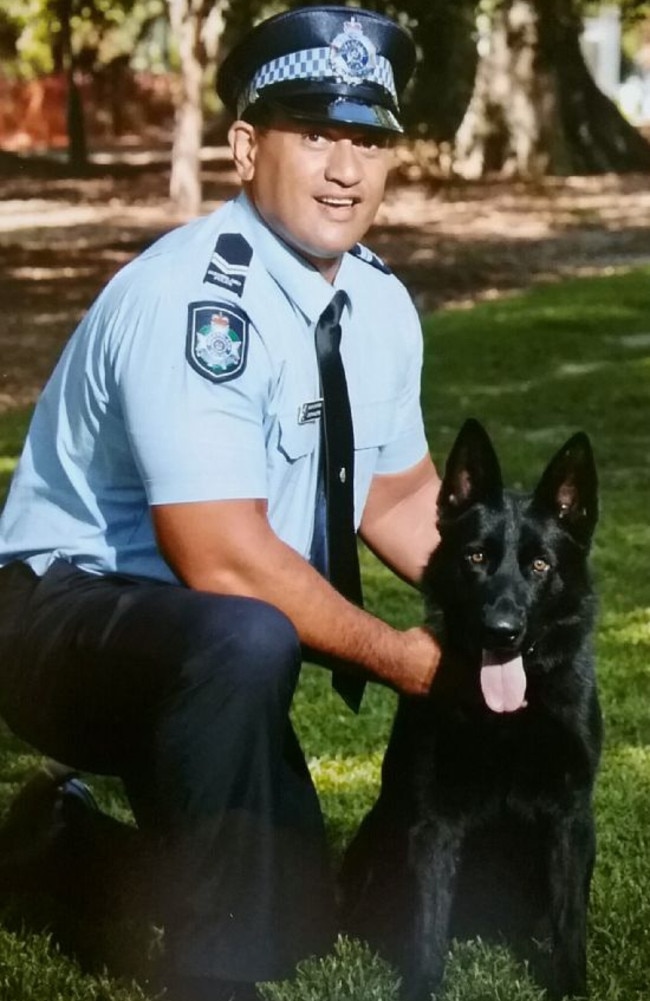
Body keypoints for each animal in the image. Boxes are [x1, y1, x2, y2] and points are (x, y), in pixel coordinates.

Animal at [342, 418, 600, 996]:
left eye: (540, 565)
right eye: (476, 557)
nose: (501, 632)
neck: (511, 715)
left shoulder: (570, 819)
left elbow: (570, 925)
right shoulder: (434, 825)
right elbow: (427, 928)